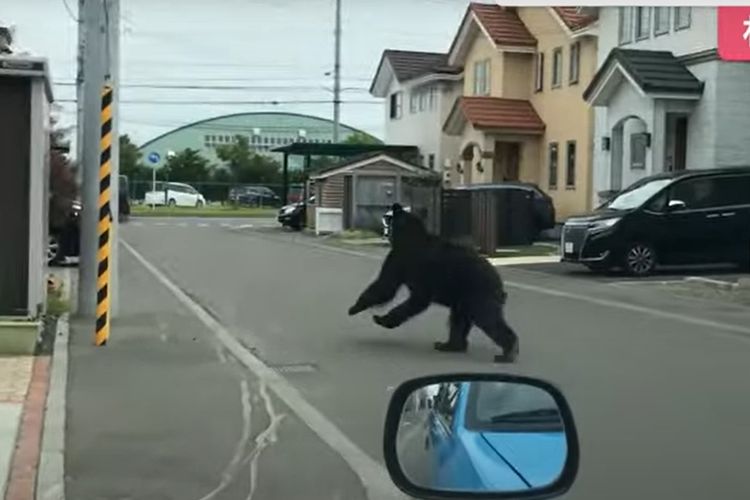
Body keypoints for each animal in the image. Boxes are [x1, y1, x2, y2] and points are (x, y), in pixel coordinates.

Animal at [350, 203, 520, 364]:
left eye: (388, 218)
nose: (384, 231)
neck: (409, 237)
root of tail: (498, 282)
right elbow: (389, 287)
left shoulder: (403, 260)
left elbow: (391, 288)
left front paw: (371, 314)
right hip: (464, 297)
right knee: (458, 320)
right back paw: (450, 345)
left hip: (478, 293)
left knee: (487, 318)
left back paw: (508, 351)